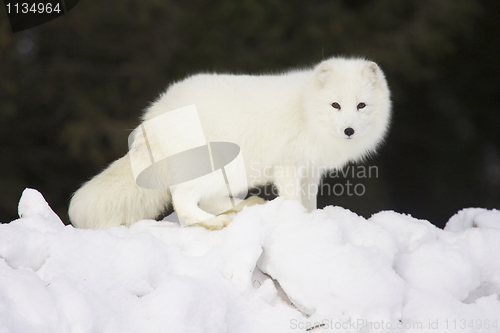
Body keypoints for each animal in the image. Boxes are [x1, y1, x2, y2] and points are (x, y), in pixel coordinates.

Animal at [69, 57, 390, 228]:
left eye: (361, 105)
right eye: (335, 105)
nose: (349, 130)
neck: (305, 109)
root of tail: (151, 116)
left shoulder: (311, 171)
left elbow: (309, 202)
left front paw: (311, 220)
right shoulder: (287, 167)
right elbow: (292, 200)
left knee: (208, 199)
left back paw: (242, 207)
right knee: (183, 202)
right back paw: (216, 223)